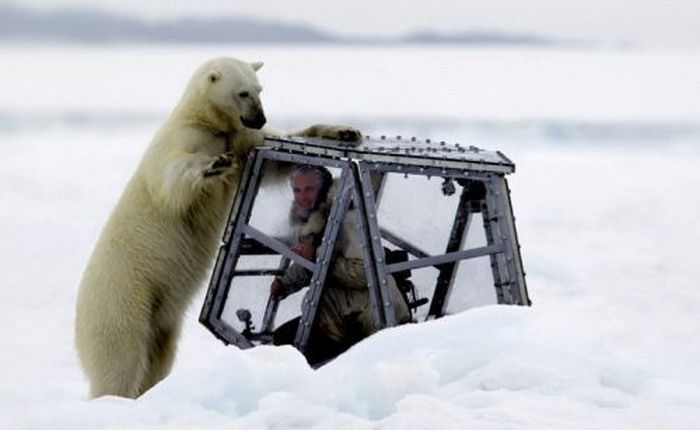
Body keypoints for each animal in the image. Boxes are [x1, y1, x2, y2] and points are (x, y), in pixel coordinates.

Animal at [75, 57, 360, 400]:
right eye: (242, 93)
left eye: (259, 89)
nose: (259, 118)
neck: (206, 121)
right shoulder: (183, 140)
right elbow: (174, 180)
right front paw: (214, 165)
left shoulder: (242, 139)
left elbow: (278, 158)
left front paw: (344, 131)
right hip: (123, 298)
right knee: (121, 359)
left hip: (161, 320)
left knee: (159, 356)